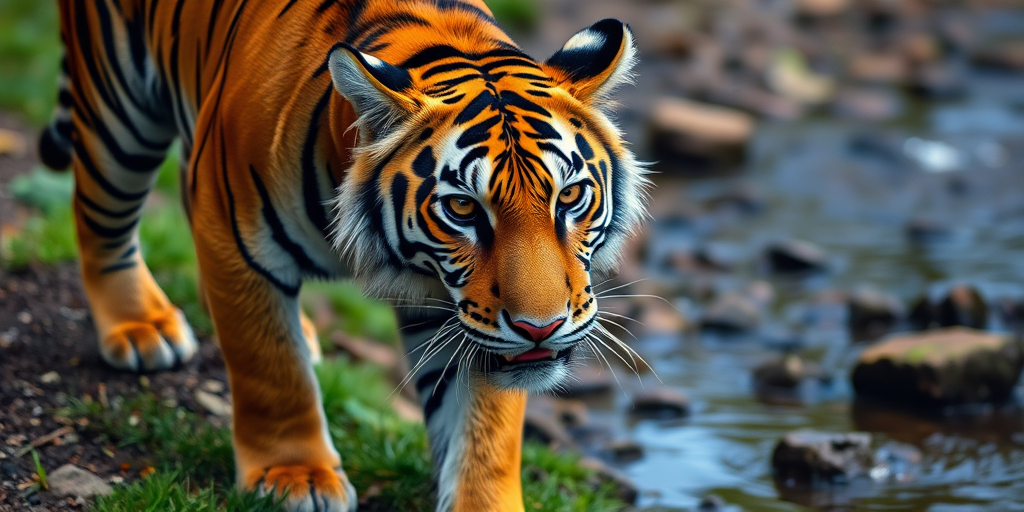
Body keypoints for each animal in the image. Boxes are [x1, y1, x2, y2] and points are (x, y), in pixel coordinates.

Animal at [39, 1, 648, 510]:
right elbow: (269, 364)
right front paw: (295, 477)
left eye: (569, 196)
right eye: (462, 208)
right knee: (98, 216)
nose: (540, 329)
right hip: (118, 112)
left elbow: (485, 428)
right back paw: (140, 325)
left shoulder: (462, 313)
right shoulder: (236, 242)